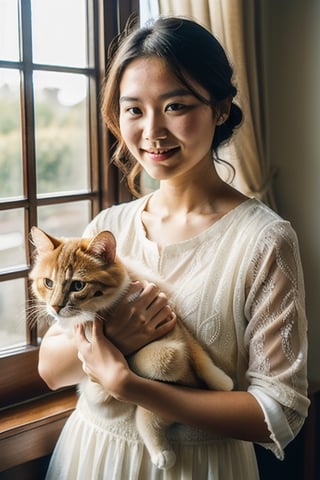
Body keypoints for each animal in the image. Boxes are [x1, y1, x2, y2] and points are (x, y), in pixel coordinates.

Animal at [29, 227, 232, 470]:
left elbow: (197, 353)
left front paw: (222, 382)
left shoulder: (174, 320)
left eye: (78, 285)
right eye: (48, 282)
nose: (55, 307)